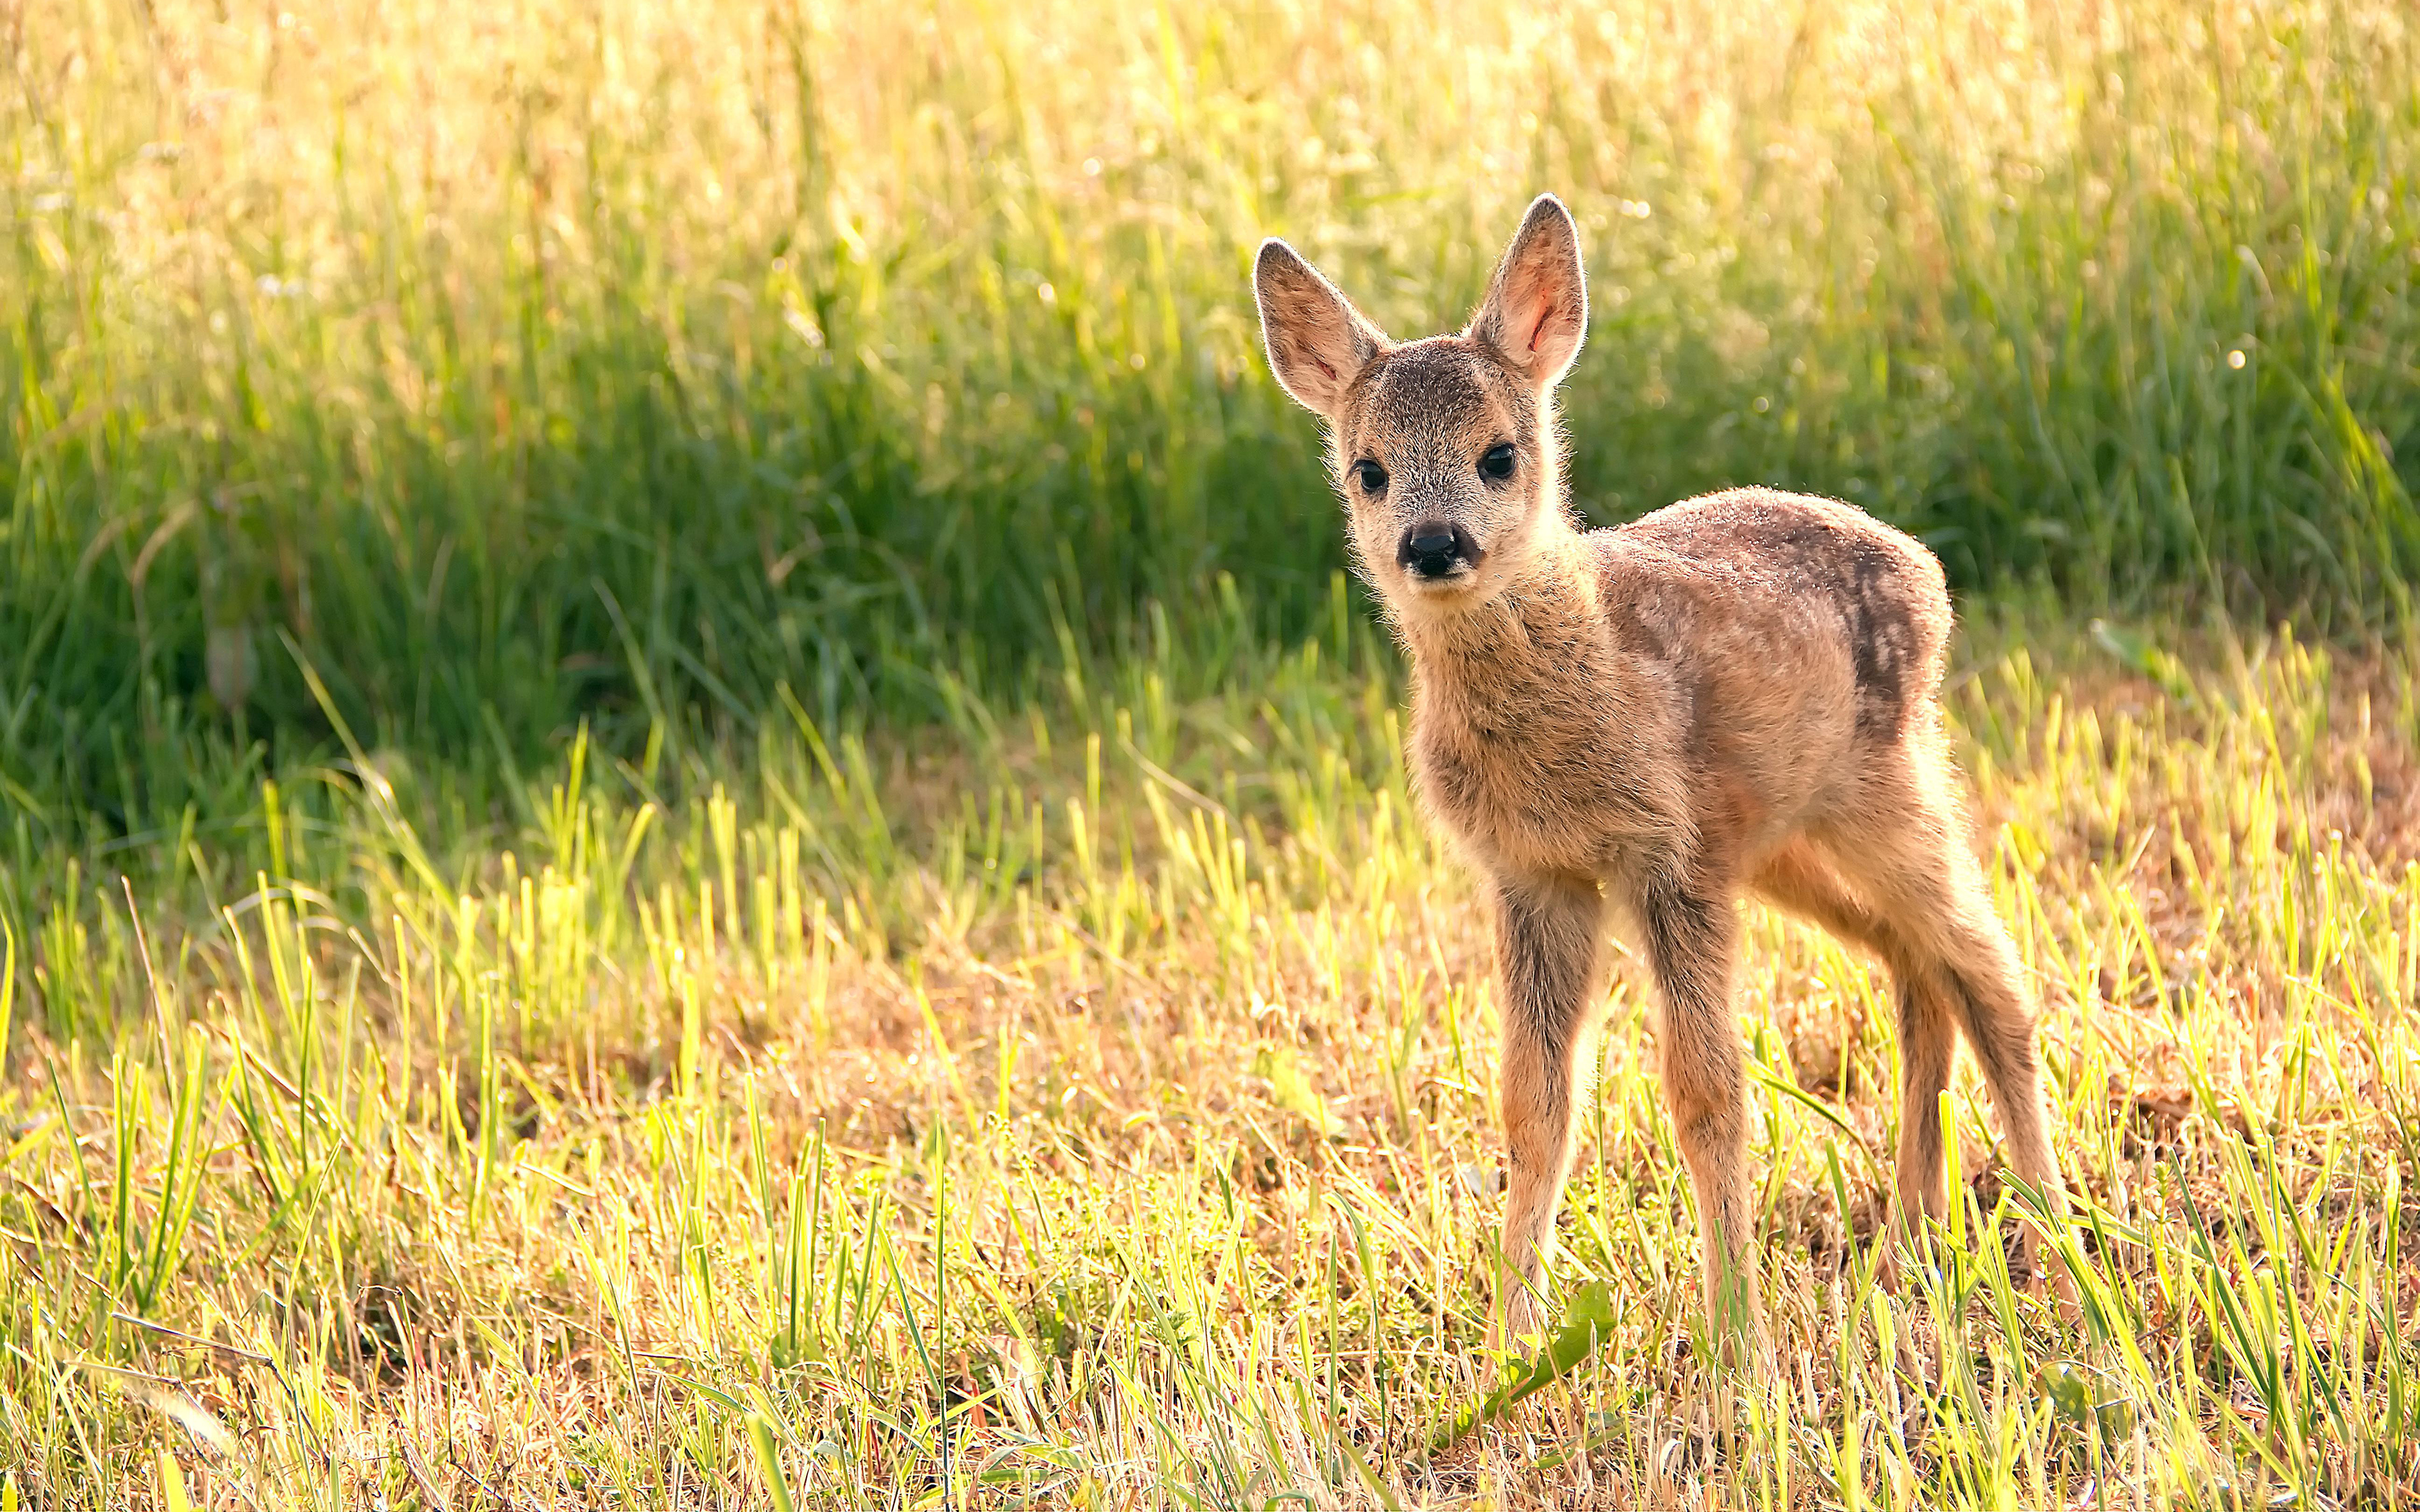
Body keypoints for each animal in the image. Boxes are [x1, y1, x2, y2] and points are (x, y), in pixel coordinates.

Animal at [1258, 197, 2071, 1345]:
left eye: (1499, 455)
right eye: (1368, 469)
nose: (1434, 543)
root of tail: (1926, 570)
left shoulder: (1664, 859)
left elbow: (1708, 1093)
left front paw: (1738, 1339)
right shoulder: (1536, 875)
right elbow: (1535, 1107)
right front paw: (1511, 1342)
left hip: (1886, 787)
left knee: (1993, 977)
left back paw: (2060, 1253)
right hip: (1778, 845)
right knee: (1916, 966)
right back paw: (1909, 1248)